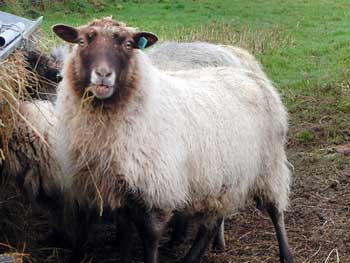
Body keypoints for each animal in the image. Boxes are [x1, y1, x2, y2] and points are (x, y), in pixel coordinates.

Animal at [52, 18, 292, 263]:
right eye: (81, 41)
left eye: (129, 44)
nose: (102, 74)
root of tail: (251, 75)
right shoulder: (118, 192)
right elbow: (125, 235)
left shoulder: (158, 190)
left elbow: (150, 237)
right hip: (222, 178)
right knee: (211, 224)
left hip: (269, 164)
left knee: (276, 210)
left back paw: (286, 253)